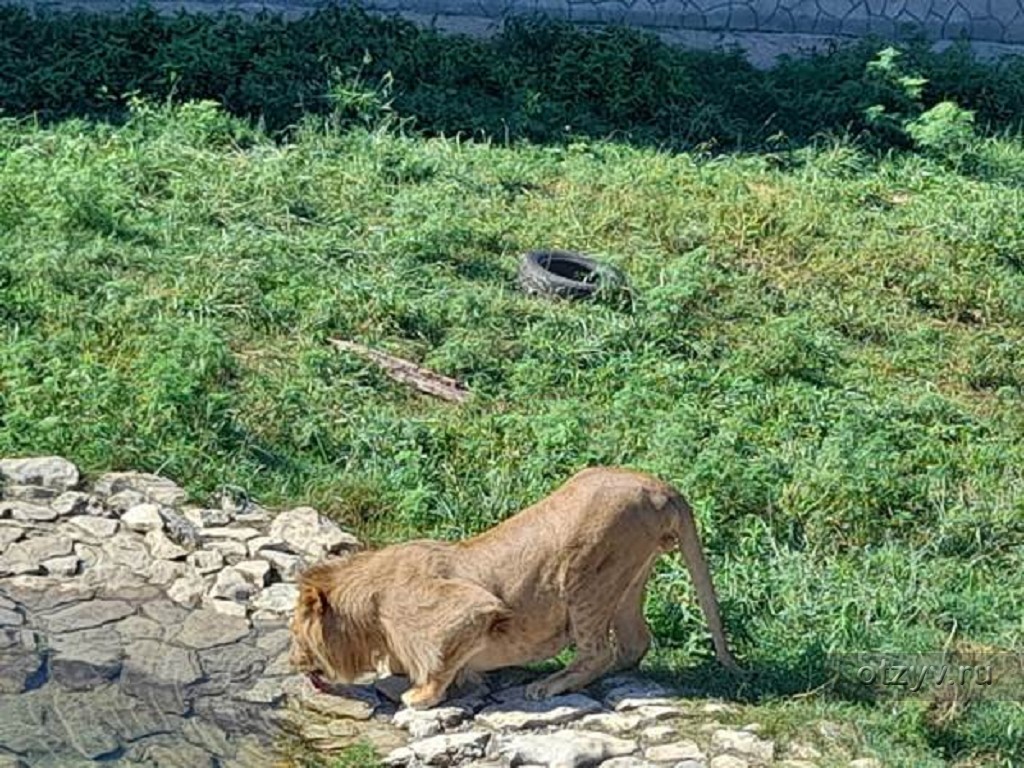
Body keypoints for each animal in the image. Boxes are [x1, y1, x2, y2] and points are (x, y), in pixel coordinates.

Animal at [288, 462, 737, 708]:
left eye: (296, 634)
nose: (292, 664)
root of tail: (658, 486)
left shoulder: (472, 609)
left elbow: (439, 661)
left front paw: (419, 696)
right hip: (628, 577)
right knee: (633, 643)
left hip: (585, 576)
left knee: (599, 650)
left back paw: (547, 684)